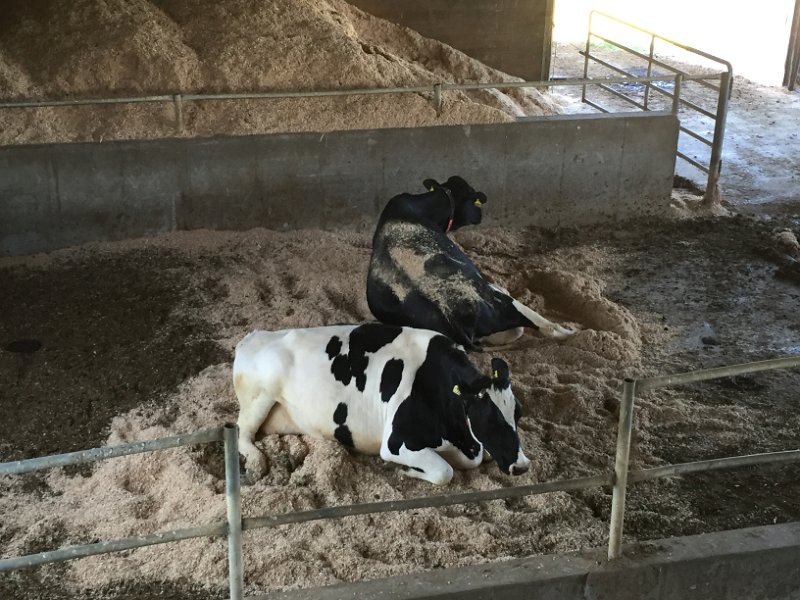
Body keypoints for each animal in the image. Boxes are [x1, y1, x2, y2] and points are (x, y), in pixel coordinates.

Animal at [233, 323, 530, 485]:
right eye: (488, 418)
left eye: (518, 414)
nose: (522, 466)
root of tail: (255, 336)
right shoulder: (396, 441)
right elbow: (444, 472)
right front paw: (405, 471)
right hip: (259, 395)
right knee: (242, 433)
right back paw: (257, 462)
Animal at [365, 175, 575, 351]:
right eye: (474, 199)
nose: (480, 216)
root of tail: (445, 308)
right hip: (499, 303)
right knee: (545, 328)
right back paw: (571, 332)